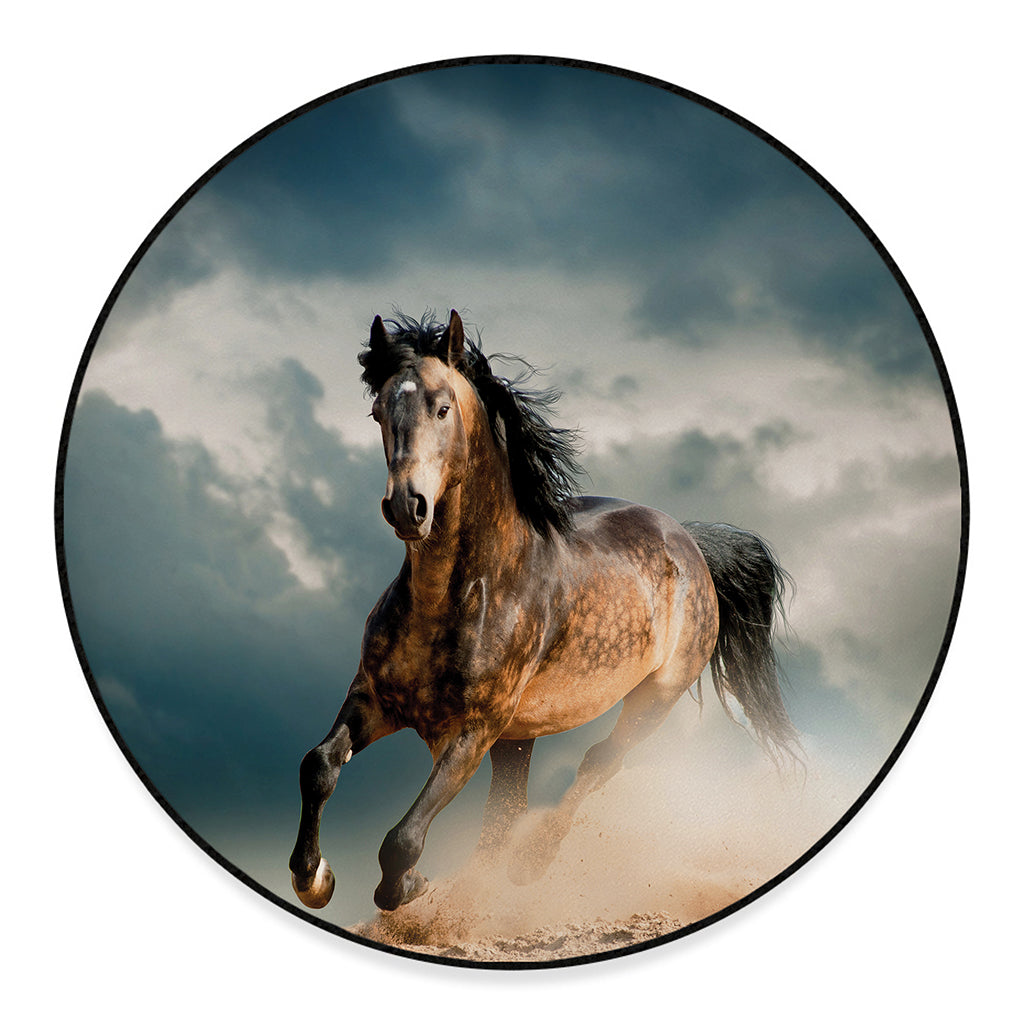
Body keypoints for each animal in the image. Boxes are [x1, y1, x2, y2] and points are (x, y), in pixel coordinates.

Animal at [289, 309, 799, 913]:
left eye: (442, 407)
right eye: (378, 411)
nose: (407, 507)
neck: (458, 596)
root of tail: (690, 542)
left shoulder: (474, 730)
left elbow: (403, 839)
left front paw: (409, 886)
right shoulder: (374, 699)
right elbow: (319, 766)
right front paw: (313, 878)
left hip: (654, 698)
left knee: (597, 763)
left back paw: (529, 865)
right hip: (520, 737)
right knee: (505, 812)